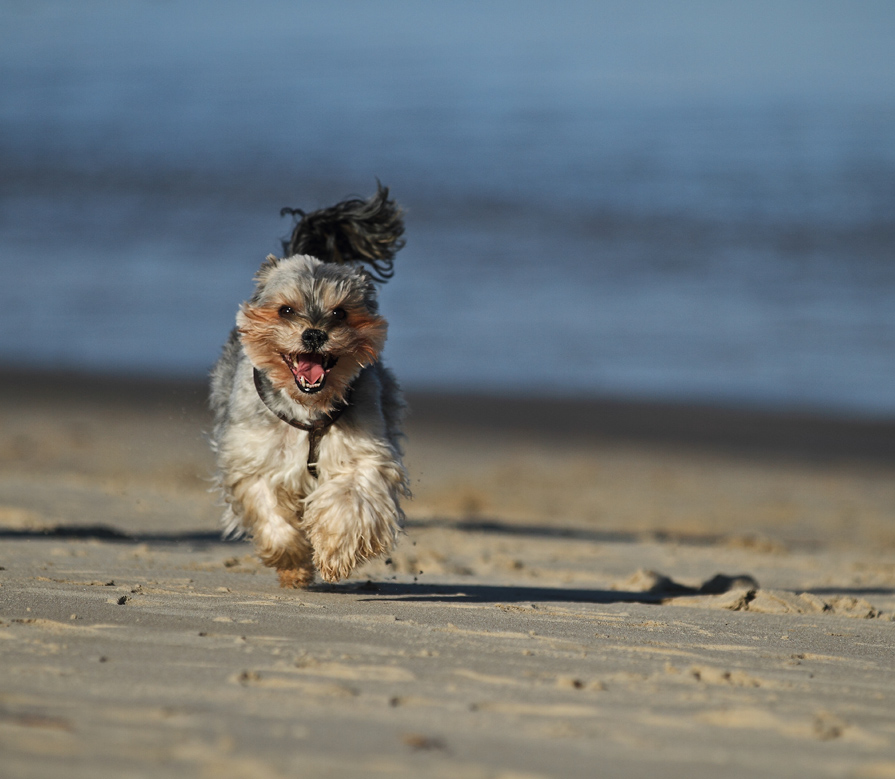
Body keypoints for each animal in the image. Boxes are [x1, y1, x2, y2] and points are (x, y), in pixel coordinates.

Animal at [210, 186, 410, 588]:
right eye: (286, 310)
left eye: (340, 313)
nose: (314, 334)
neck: (307, 407)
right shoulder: (254, 460)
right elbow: (270, 511)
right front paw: (292, 559)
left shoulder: (363, 454)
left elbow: (351, 500)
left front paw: (333, 553)